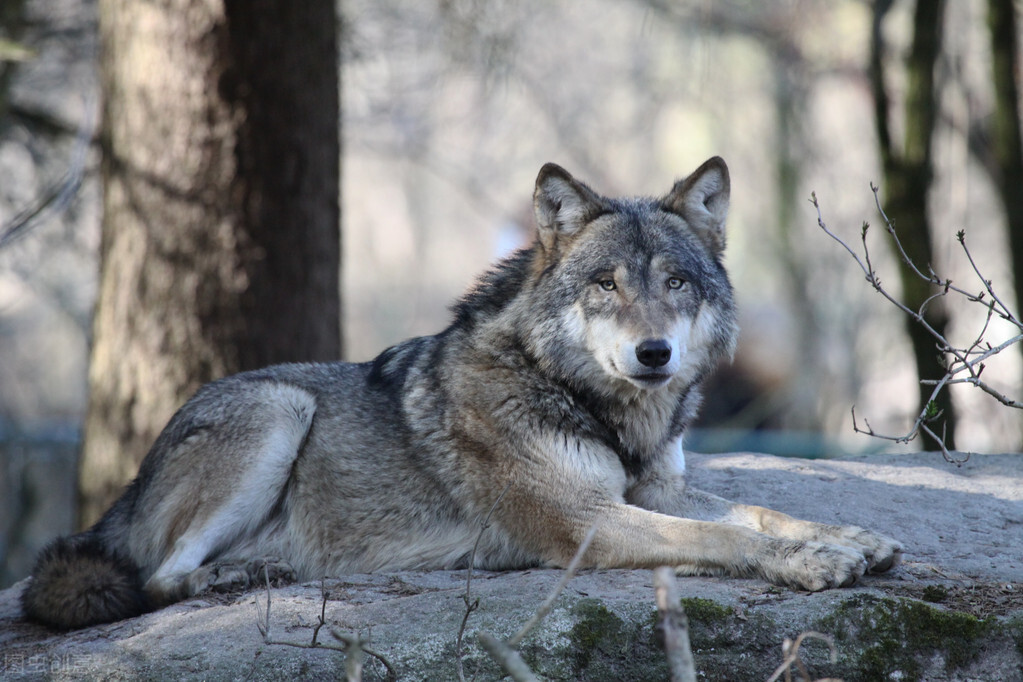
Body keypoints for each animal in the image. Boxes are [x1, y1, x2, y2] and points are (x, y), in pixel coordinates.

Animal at [24, 156, 900, 629]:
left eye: (676, 283)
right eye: (606, 284)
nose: (653, 353)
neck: (583, 400)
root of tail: (129, 487)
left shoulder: (655, 489)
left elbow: (755, 511)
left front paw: (848, 537)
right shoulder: (585, 524)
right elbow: (724, 539)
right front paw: (809, 562)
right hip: (279, 408)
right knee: (159, 576)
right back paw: (233, 577)